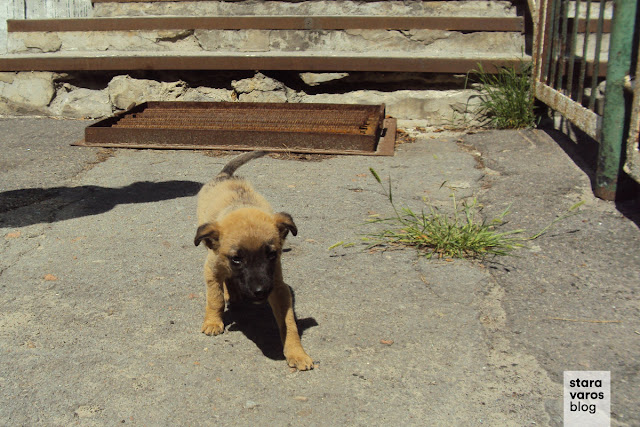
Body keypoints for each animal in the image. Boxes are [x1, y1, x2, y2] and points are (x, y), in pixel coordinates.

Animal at [195, 151, 316, 372]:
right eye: (237, 259)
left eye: (271, 255)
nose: (260, 292)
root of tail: (225, 175)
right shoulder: (212, 269)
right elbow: (215, 298)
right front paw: (213, 322)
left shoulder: (278, 286)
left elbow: (289, 323)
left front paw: (297, 353)